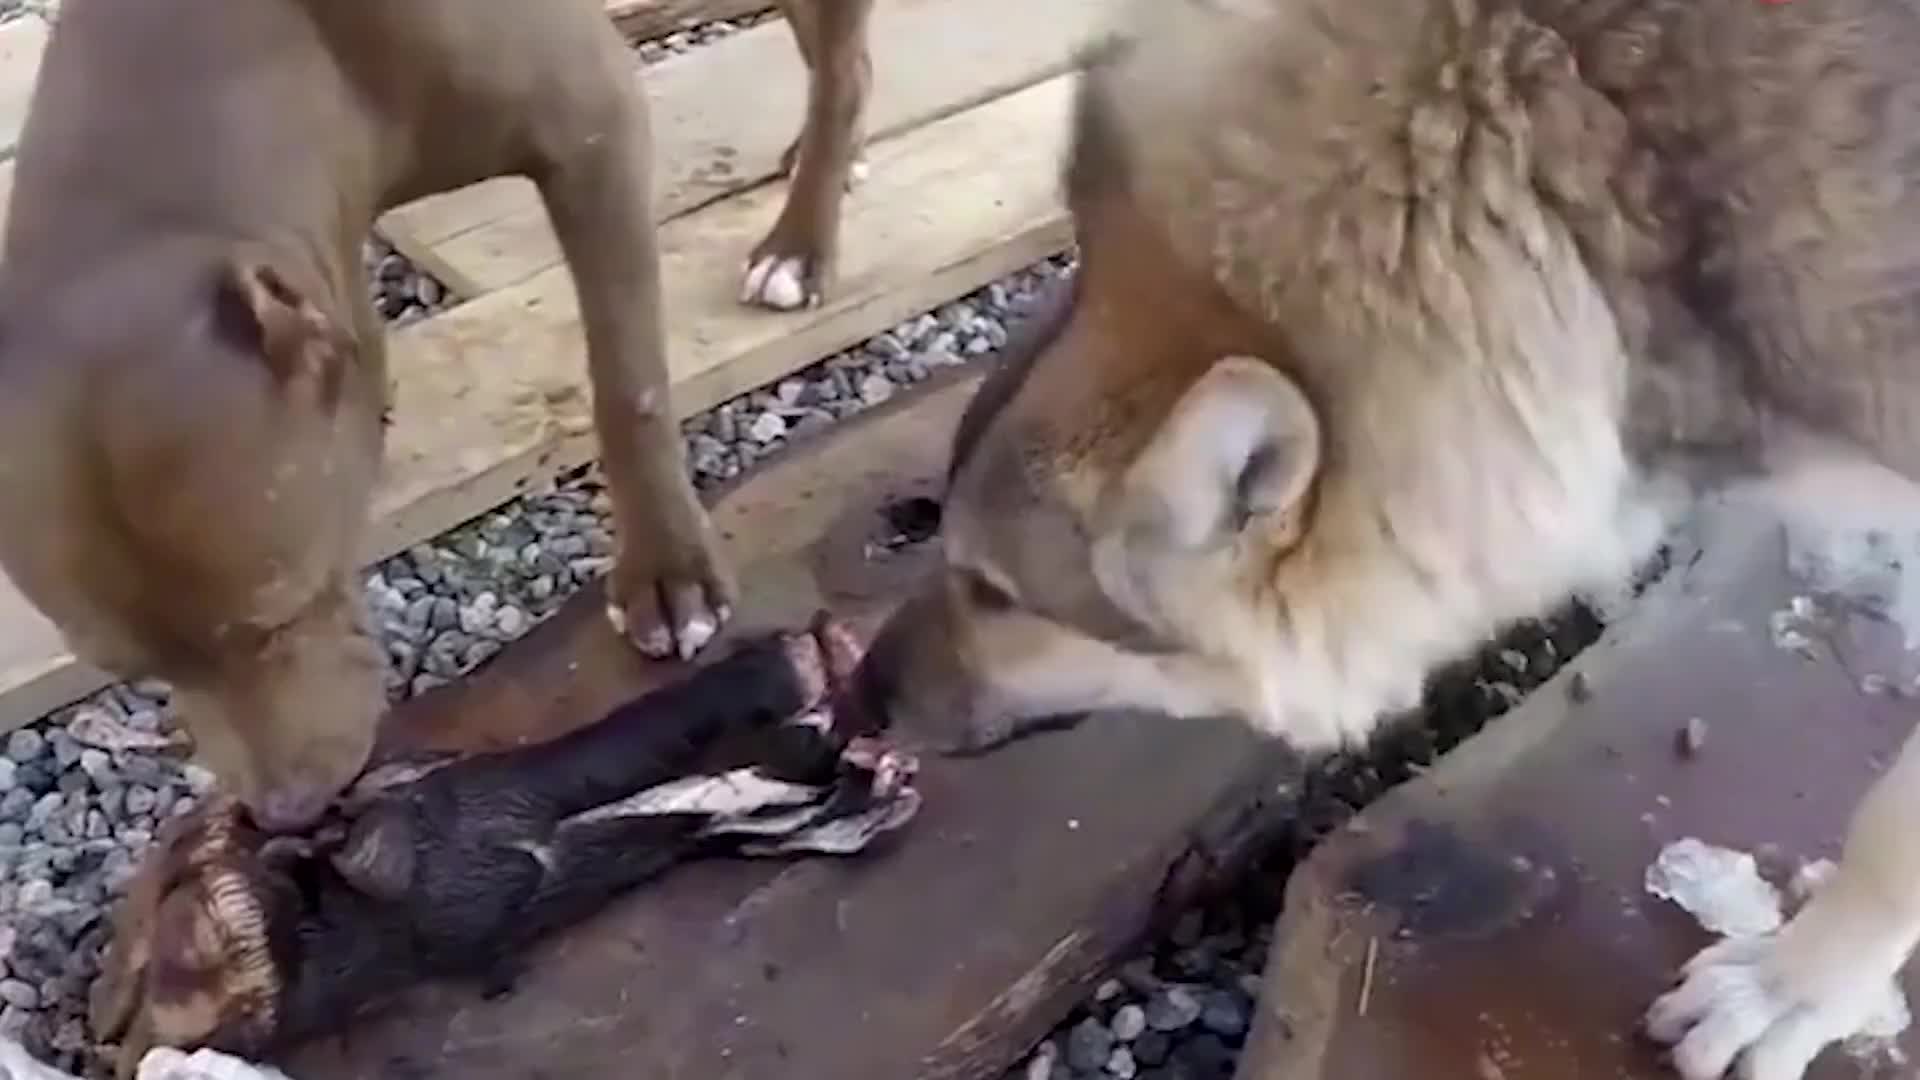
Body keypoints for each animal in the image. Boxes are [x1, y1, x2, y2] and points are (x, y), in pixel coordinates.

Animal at [0, 0, 879, 826]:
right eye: (134, 672)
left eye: (277, 616)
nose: (288, 811)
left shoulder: (593, 131)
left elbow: (628, 379)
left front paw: (669, 571)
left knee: (840, 66)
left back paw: (801, 239)